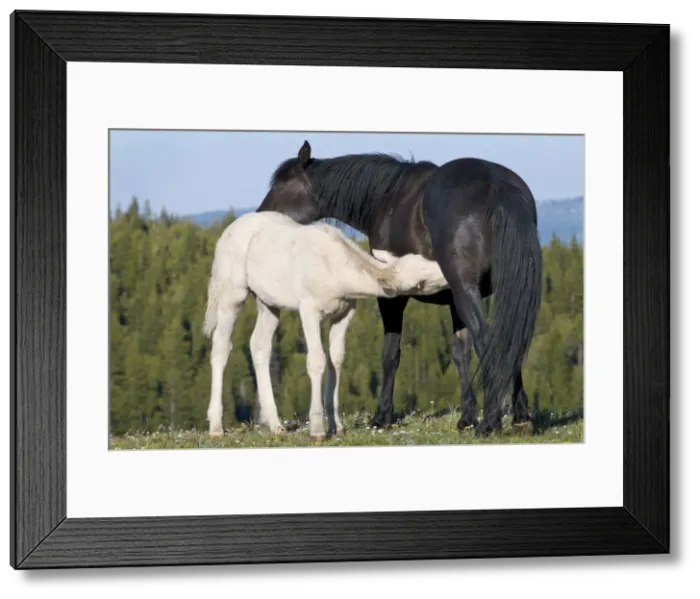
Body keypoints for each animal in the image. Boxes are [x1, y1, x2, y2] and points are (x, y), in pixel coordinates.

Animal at [202, 210, 449, 441]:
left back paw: (276, 425)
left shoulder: (344, 312)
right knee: (221, 346)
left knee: (259, 345)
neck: (337, 272)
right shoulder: (309, 309)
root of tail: (225, 233)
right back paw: (216, 427)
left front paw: (336, 426)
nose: (449, 274)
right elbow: (317, 360)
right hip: (231, 292)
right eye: (424, 279)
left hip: (268, 302)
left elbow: (336, 360)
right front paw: (317, 429)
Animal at [255, 140, 543, 437]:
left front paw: (381, 416)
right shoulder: (455, 301)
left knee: (490, 343)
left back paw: (491, 422)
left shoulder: (393, 298)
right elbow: (460, 353)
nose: (259, 215)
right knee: (510, 340)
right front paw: (467, 417)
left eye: (282, 184)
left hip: (468, 293)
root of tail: (497, 185)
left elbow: (390, 355)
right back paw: (520, 416)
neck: (387, 197)